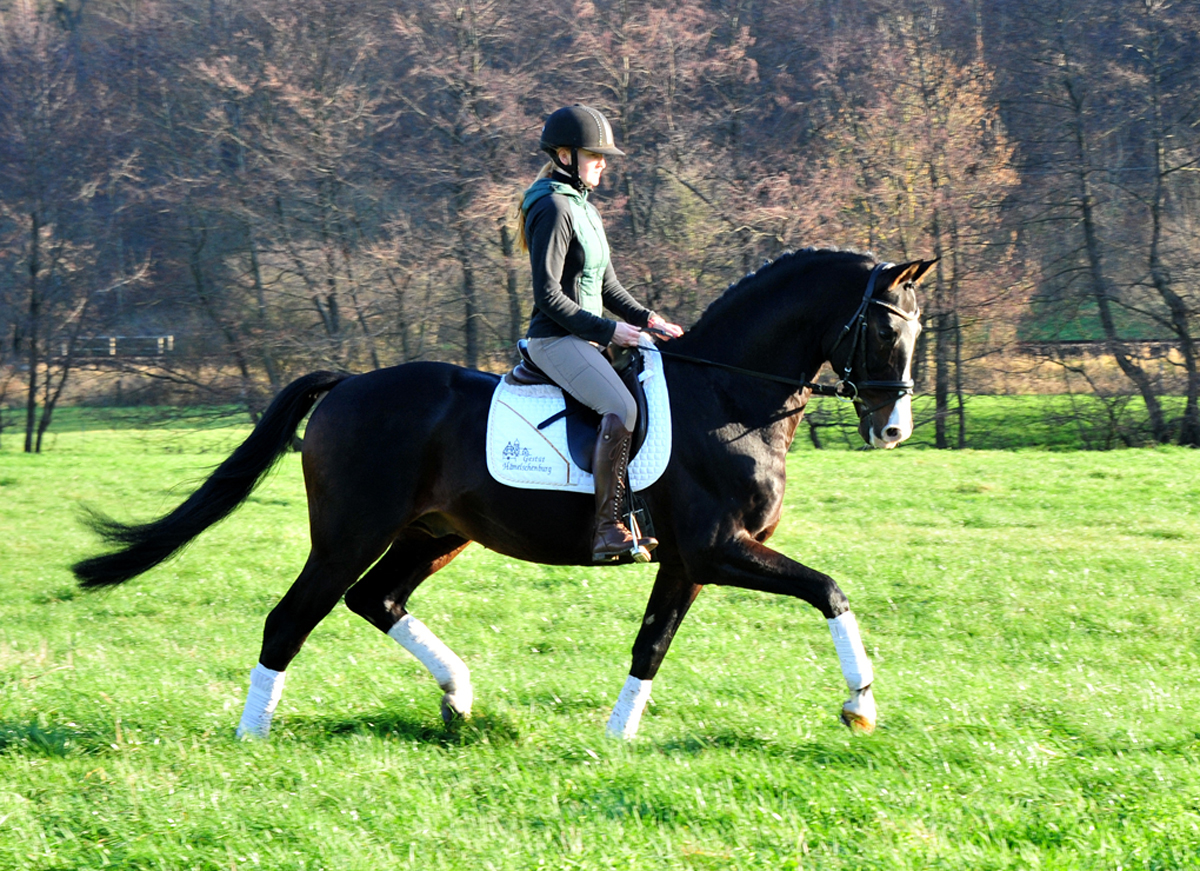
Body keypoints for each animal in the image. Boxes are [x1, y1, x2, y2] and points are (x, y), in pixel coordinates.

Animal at [72, 247, 936, 743]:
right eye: (883, 329)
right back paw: (255, 732)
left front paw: (617, 735)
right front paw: (860, 704)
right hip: (351, 532)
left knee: (376, 600)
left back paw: (458, 698)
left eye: (916, 331)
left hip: (435, 533)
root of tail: (349, 384)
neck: (727, 396)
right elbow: (830, 589)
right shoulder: (719, 549)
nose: (893, 428)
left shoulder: (687, 562)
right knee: (293, 616)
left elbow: (651, 643)